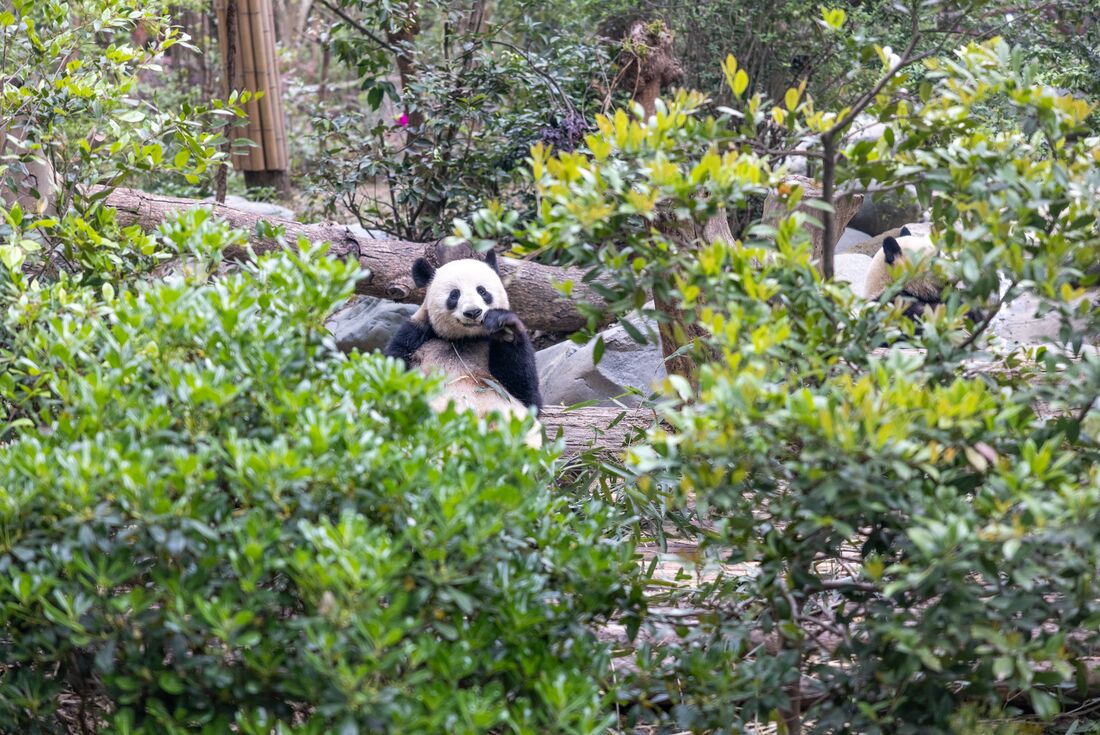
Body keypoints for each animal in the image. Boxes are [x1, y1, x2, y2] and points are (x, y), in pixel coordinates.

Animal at [383, 250, 543, 447]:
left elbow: (527, 393)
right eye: (454, 295)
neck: (464, 339)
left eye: (482, 291)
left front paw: (506, 327)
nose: (473, 312)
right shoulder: (414, 337)